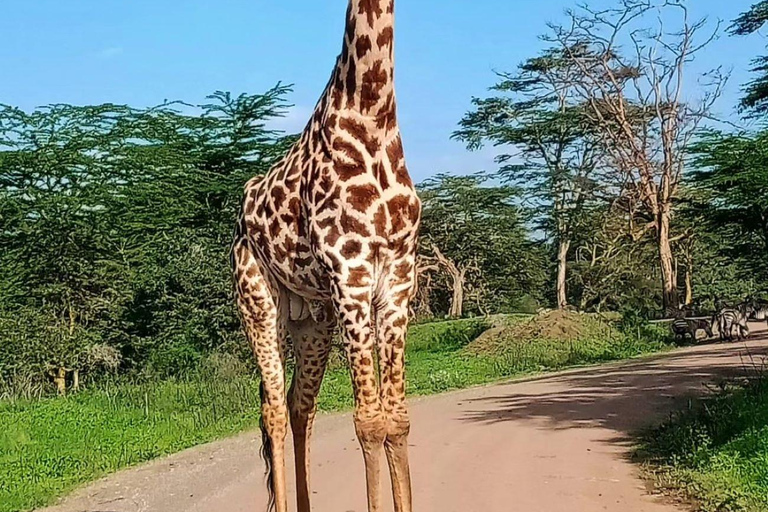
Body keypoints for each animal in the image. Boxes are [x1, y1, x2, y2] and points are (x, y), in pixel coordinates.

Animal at [232, 1, 420, 512]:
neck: (373, 108)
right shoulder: (350, 276)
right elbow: (369, 422)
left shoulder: (398, 279)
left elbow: (397, 420)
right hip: (257, 302)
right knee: (273, 410)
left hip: (313, 321)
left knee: (301, 406)